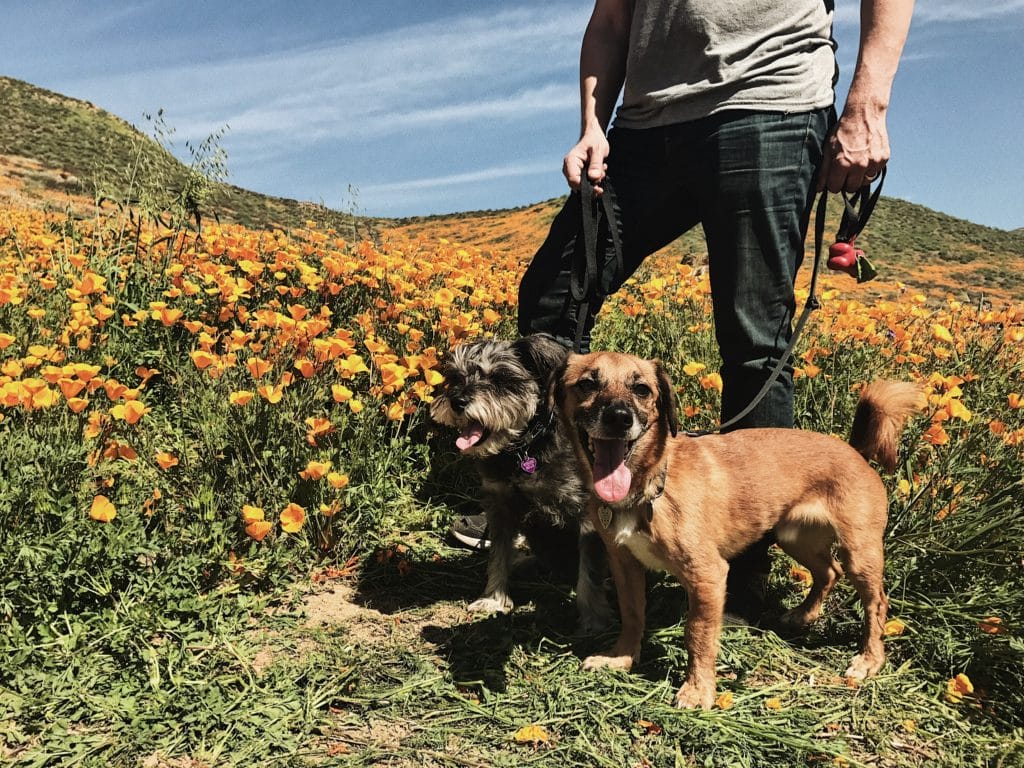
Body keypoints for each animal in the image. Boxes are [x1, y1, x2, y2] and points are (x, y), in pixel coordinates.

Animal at [430, 333, 610, 634]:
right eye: (455, 377)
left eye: (500, 378)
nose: (458, 401)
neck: (524, 450)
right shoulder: (500, 505)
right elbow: (498, 555)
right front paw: (493, 599)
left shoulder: (587, 513)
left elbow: (591, 573)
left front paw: (593, 618)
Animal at [557, 352, 925, 712]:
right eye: (587, 384)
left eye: (642, 389)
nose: (619, 418)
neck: (650, 483)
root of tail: (856, 451)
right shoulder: (624, 564)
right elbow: (632, 613)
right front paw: (621, 658)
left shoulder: (708, 575)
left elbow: (698, 633)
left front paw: (698, 690)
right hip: (795, 538)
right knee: (829, 572)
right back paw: (803, 615)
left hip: (859, 554)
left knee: (876, 602)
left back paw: (869, 659)